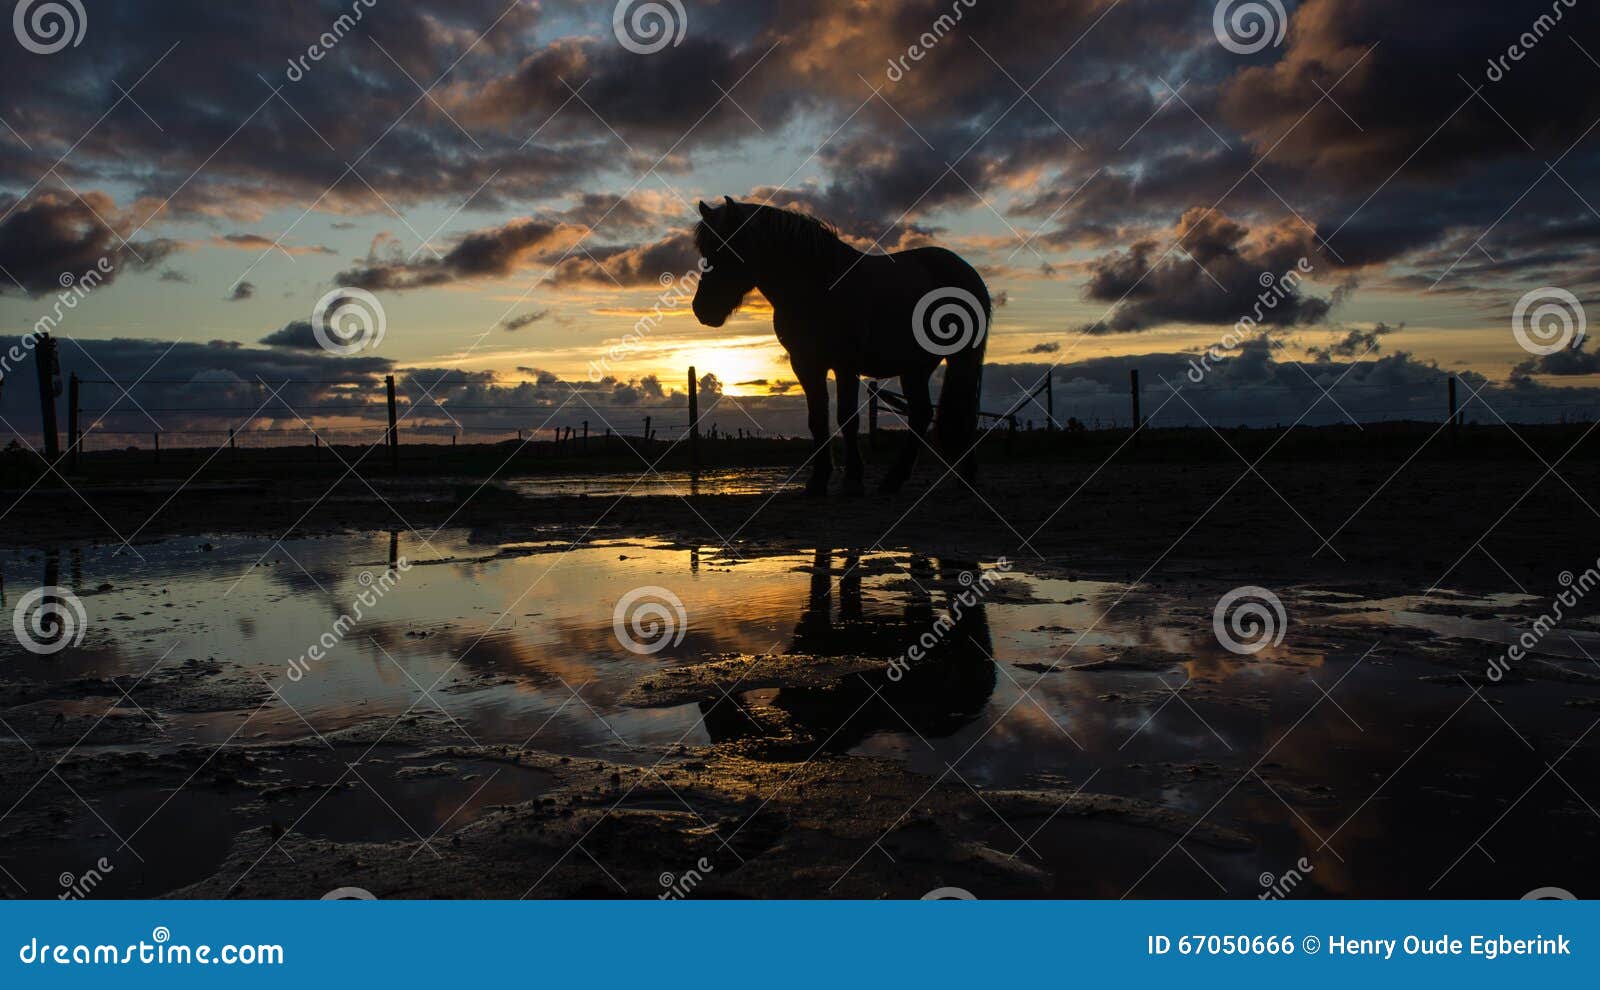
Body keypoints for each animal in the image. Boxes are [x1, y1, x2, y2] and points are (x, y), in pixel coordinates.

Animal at [691, 198, 985, 498]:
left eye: (728, 248)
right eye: (704, 252)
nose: (703, 310)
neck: (819, 286)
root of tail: (965, 270)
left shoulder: (846, 364)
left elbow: (847, 418)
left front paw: (853, 480)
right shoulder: (805, 364)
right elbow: (817, 419)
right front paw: (818, 481)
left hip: (963, 359)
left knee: (958, 411)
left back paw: (960, 478)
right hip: (916, 367)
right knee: (922, 413)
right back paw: (898, 480)